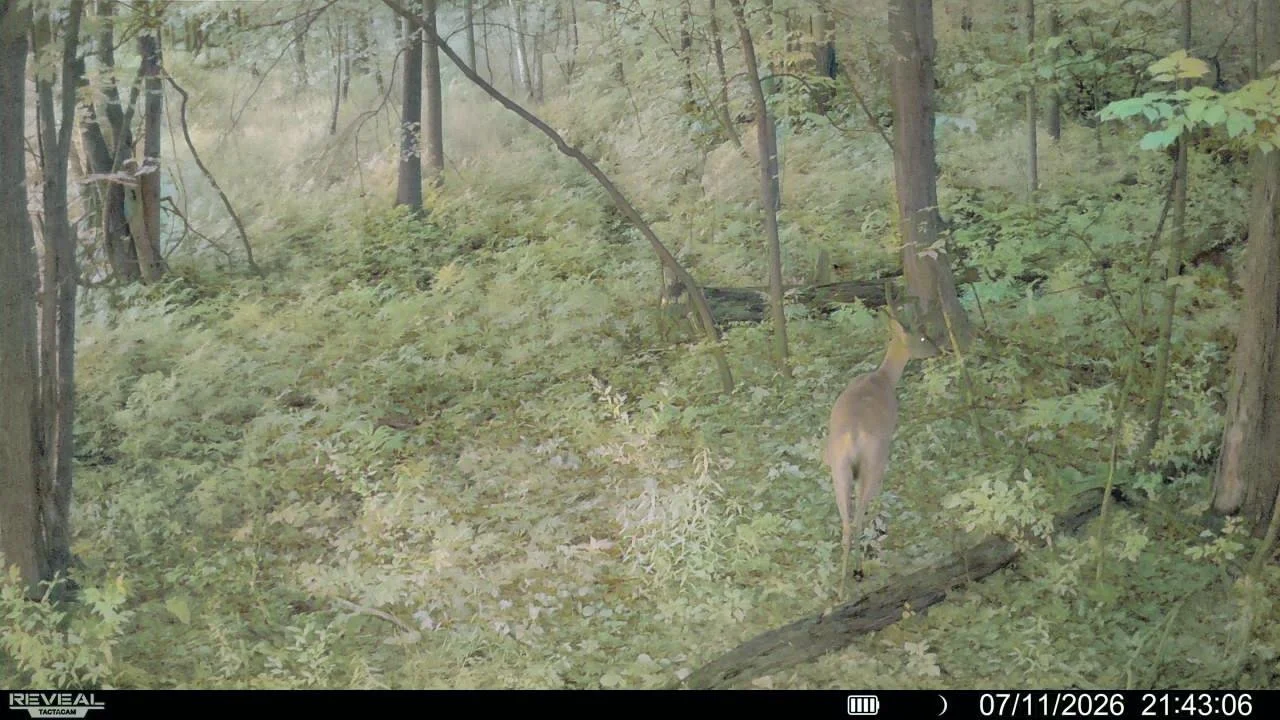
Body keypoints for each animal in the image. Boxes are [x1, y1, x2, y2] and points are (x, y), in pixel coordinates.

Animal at [823, 298, 939, 598]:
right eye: (923, 336)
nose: (937, 350)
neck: (884, 377)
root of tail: (853, 436)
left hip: (838, 468)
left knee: (846, 522)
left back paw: (841, 588)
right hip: (872, 461)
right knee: (859, 515)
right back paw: (860, 569)